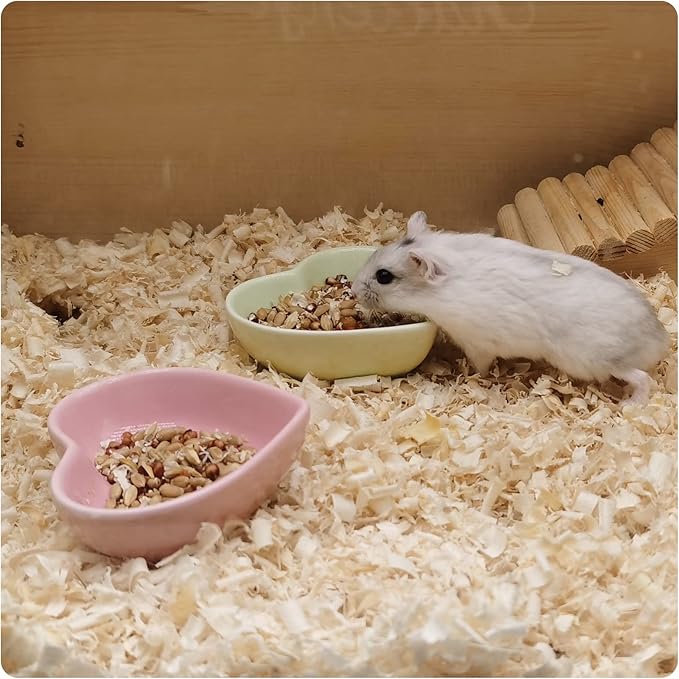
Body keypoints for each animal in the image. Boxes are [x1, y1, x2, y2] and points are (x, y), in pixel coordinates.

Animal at [352, 211, 671, 405]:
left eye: (384, 276)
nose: (354, 291)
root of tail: (661, 341)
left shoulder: (477, 344)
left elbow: (479, 367)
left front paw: (467, 375)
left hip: (597, 360)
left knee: (642, 378)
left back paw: (630, 404)